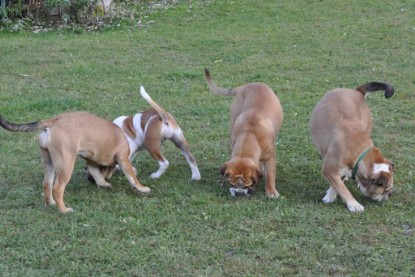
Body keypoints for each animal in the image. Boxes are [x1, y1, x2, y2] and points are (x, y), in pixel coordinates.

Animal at [0, 111, 150, 212]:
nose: (90, 180)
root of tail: (54, 121)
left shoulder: (91, 161)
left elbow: (96, 173)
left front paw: (103, 183)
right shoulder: (123, 158)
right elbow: (132, 177)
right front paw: (142, 188)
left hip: (49, 162)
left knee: (47, 184)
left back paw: (50, 203)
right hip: (66, 164)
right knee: (58, 188)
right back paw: (63, 210)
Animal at [206, 68, 284, 196]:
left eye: (249, 184)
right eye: (232, 183)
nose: (239, 192)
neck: (250, 134)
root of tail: (247, 85)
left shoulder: (270, 157)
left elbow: (271, 175)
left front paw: (271, 191)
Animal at [312, 82, 396, 211]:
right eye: (384, 189)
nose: (390, 194)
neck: (359, 151)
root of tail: (356, 91)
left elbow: (339, 183)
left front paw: (332, 193)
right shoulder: (329, 169)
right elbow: (342, 188)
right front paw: (354, 204)